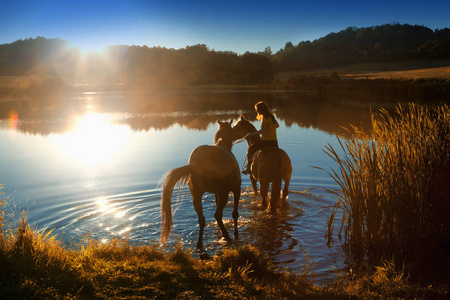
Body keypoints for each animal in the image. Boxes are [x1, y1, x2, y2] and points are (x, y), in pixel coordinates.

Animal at [160, 119, 241, 248]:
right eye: (232, 129)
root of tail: (196, 164)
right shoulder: (236, 188)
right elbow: (235, 213)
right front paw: (236, 234)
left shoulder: (216, 194)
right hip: (223, 194)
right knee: (217, 214)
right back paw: (227, 237)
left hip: (197, 195)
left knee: (202, 219)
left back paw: (199, 243)